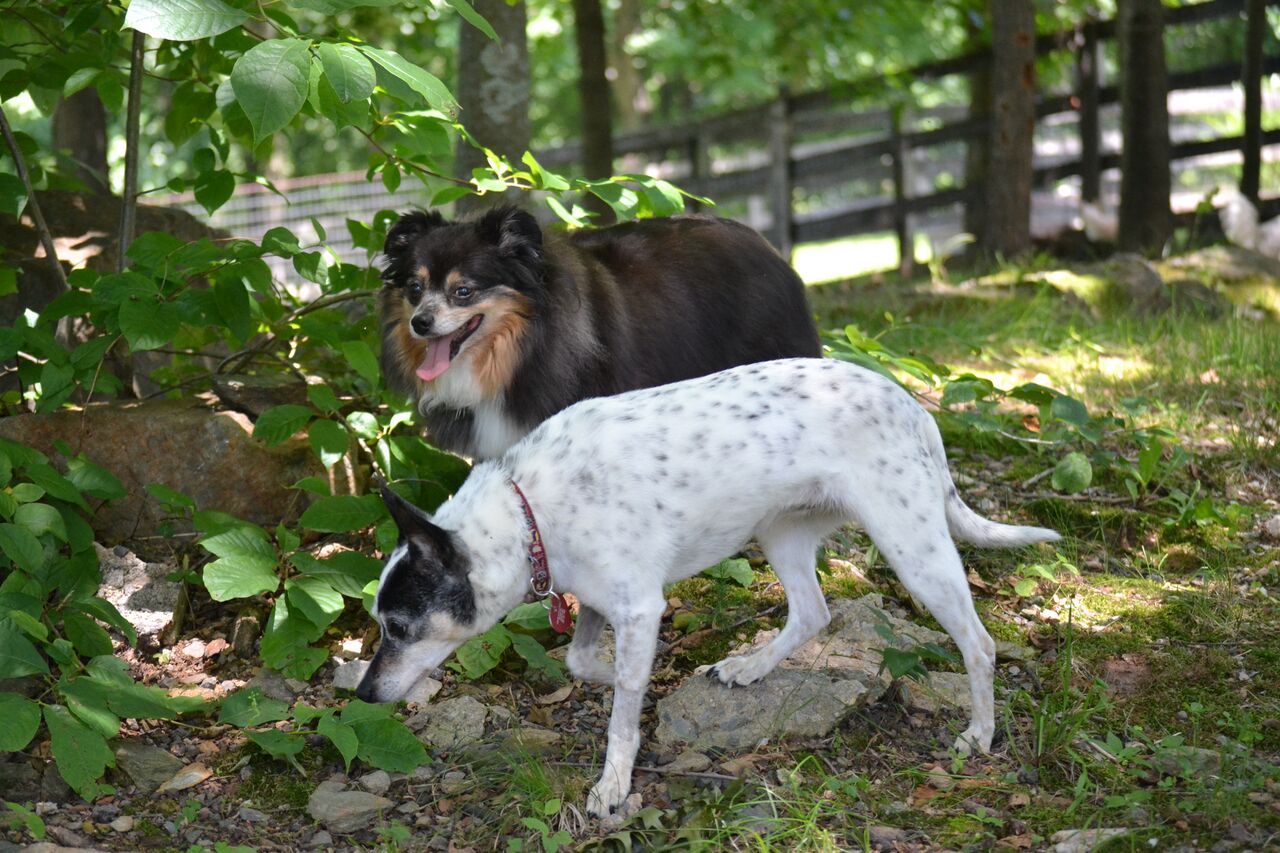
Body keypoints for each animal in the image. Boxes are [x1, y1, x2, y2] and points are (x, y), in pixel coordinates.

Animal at [355, 356, 1064, 814]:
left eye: (399, 628)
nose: (361, 695)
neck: (529, 507)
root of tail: (917, 409)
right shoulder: (602, 602)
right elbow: (587, 662)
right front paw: (631, 678)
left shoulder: (640, 606)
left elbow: (621, 713)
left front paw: (614, 782)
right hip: (780, 534)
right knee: (813, 614)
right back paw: (750, 667)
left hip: (912, 547)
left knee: (978, 643)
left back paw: (979, 732)